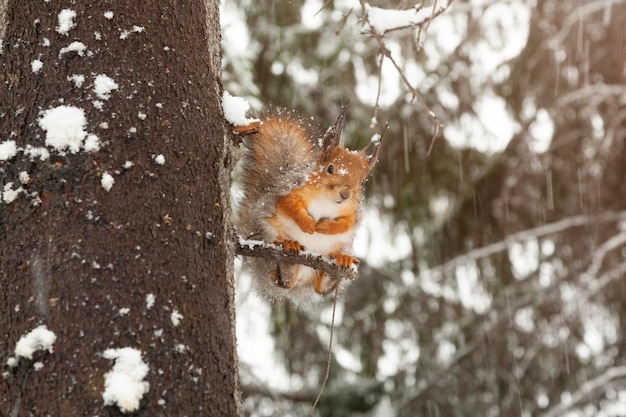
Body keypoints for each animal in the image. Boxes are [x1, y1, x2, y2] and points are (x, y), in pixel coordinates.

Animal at [234, 107, 380, 302]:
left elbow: (348, 222)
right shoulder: (288, 191)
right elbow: (290, 205)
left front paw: (326, 227)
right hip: (267, 231)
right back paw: (287, 254)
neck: (327, 201)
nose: (345, 195)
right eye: (330, 168)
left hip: (339, 247)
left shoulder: (354, 210)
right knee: (279, 279)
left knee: (319, 288)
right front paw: (309, 224)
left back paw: (338, 266)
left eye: (363, 181)